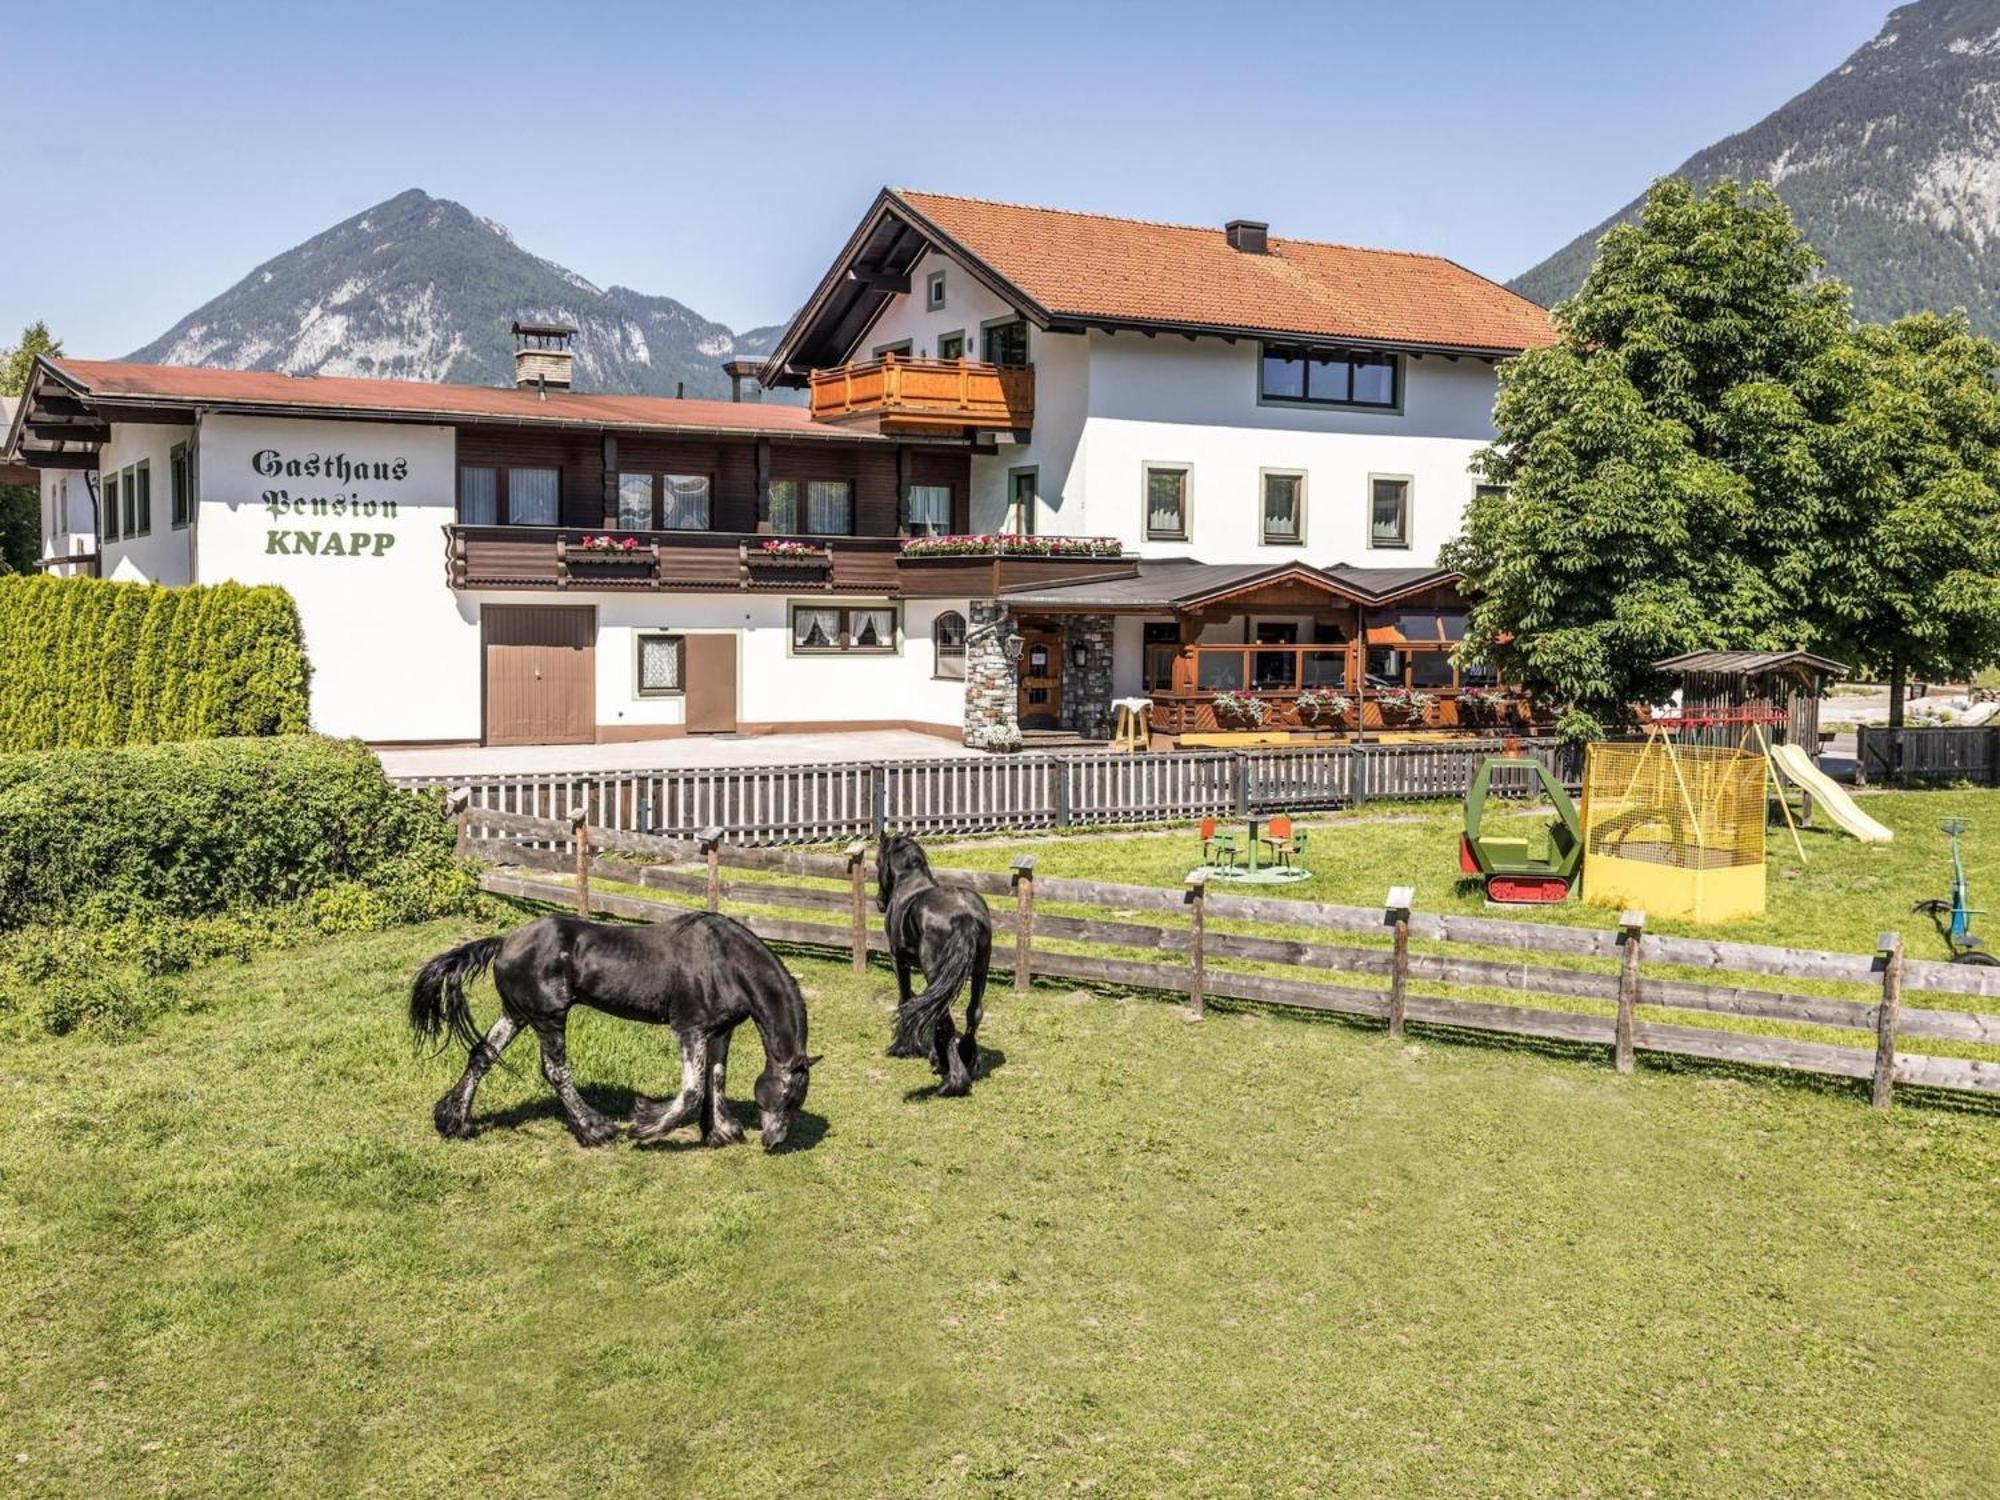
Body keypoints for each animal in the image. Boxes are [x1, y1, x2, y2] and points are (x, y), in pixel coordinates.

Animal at [410, 912, 816, 1160]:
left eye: (797, 1099)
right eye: (787, 1096)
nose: (775, 1142)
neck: (726, 964)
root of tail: (505, 942)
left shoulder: (720, 1031)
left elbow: (716, 1079)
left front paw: (721, 1132)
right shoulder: (690, 1029)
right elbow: (691, 1091)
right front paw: (645, 1125)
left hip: (517, 1014)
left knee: (482, 1055)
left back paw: (453, 1121)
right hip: (548, 1018)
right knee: (555, 1072)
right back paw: (596, 1130)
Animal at [880, 836, 996, 1096]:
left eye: (878, 862)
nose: (880, 903)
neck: (910, 882)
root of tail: (965, 915)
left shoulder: (898, 961)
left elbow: (905, 998)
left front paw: (902, 1047)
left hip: (934, 970)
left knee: (945, 1017)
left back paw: (952, 1079)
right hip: (979, 968)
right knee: (973, 1012)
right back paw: (965, 1059)